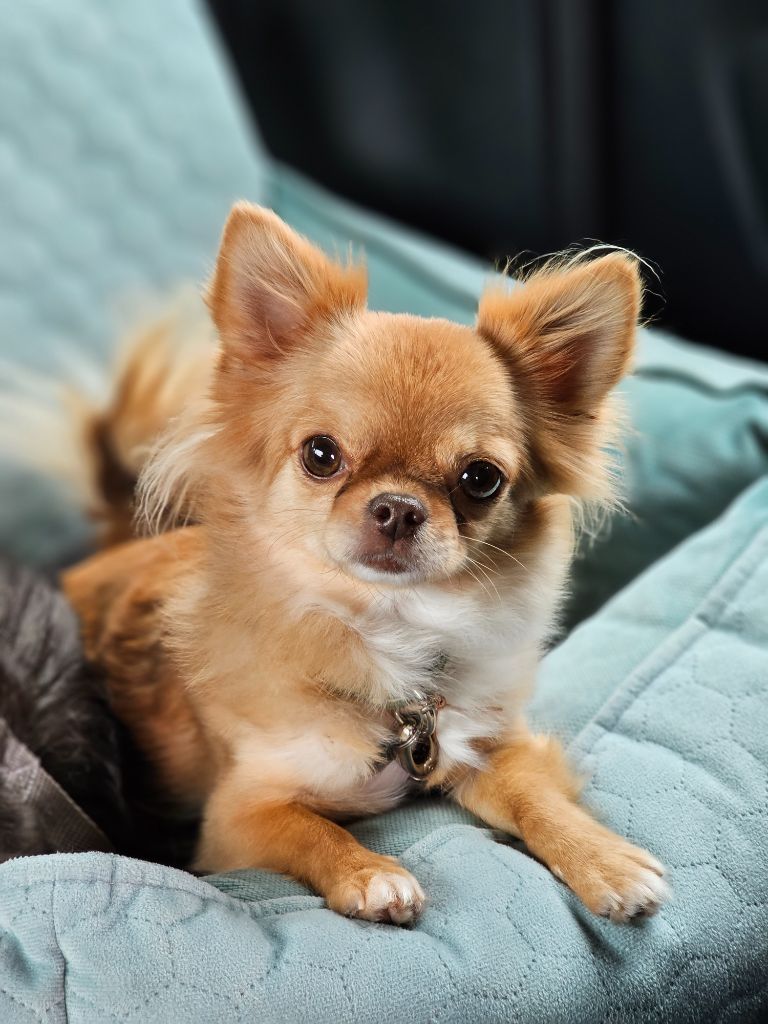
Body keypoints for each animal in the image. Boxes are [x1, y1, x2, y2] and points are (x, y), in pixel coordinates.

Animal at [63, 203, 671, 925]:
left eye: (481, 479)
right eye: (321, 455)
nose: (399, 508)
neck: (389, 633)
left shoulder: (486, 745)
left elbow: (536, 798)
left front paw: (601, 857)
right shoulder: (238, 816)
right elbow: (311, 828)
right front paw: (370, 874)